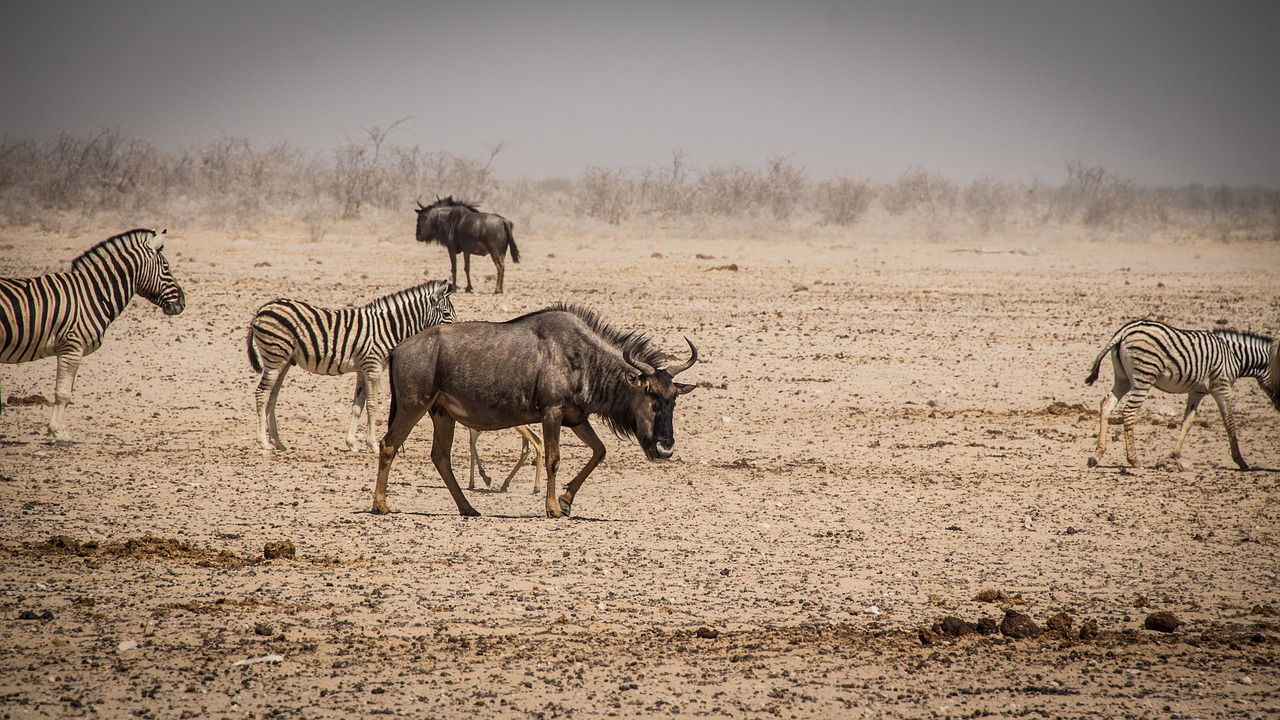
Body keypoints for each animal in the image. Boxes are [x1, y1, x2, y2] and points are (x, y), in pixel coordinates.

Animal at [0, 226, 186, 438]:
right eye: (166, 268)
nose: (183, 303)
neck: (93, 293)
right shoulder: (72, 346)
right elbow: (63, 393)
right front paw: (59, 432)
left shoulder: (68, 349)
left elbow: (66, 390)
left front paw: (58, 429)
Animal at [244, 279, 455, 450]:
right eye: (446, 313)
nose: (455, 331)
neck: (388, 328)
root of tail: (262, 310)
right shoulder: (373, 367)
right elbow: (372, 405)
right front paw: (373, 444)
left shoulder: (362, 370)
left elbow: (357, 406)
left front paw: (352, 443)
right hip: (274, 357)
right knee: (261, 393)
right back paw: (263, 442)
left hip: (284, 361)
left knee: (272, 396)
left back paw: (278, 442)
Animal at [1085, 320, 1274, 471]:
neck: (1235, 356)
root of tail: (1124, 331)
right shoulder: (1222, 386)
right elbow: (1229, 421)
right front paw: (1241, 461)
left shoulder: (1197, 392)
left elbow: (1188, 422)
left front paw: (1174, 455)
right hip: (1144, 376)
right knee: (1129, 412)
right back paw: (1134, 460)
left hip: (1123, 378)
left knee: (1107, 404)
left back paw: (1097, 455)